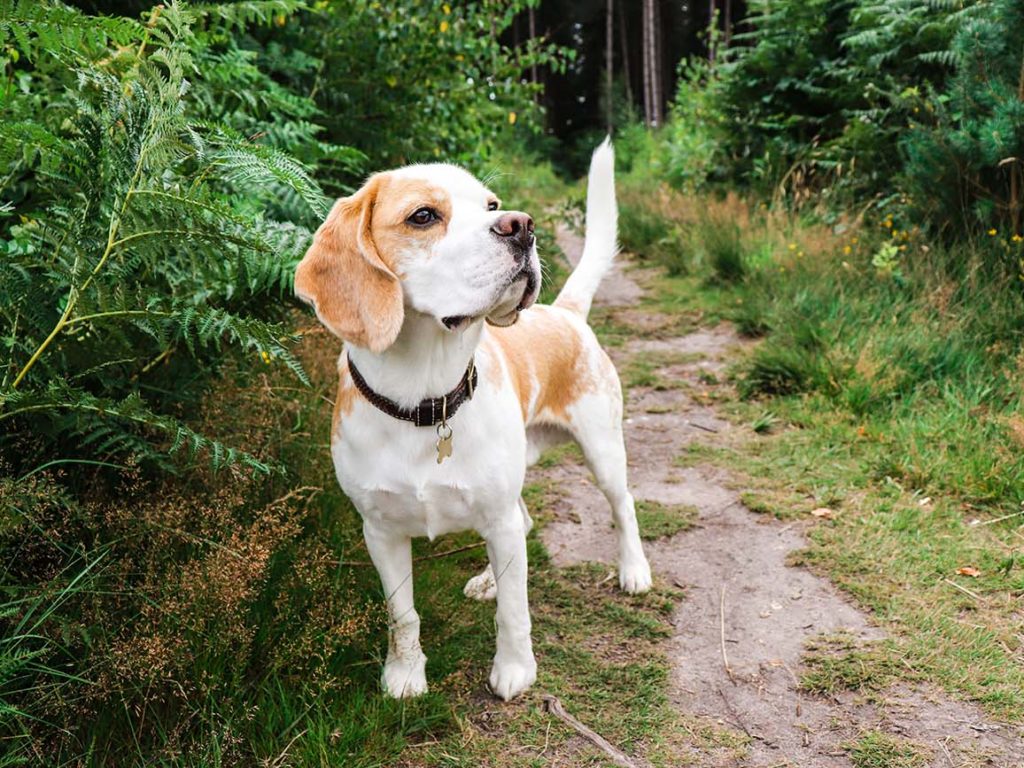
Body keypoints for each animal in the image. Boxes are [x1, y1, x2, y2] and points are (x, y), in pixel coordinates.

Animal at [292, 141, 651, 708]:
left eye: (491, 205)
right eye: (423, 216)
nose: (521, 225)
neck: (426, 402)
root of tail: (565, 313)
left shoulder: (496, 518)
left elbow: (515, 612)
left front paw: (515, 670)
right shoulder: (380, 532)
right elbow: (402, 615)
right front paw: (405, 676)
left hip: (602, 452)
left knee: (623, 507)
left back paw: (633, 570)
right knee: (524, 524)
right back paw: (489, 580)